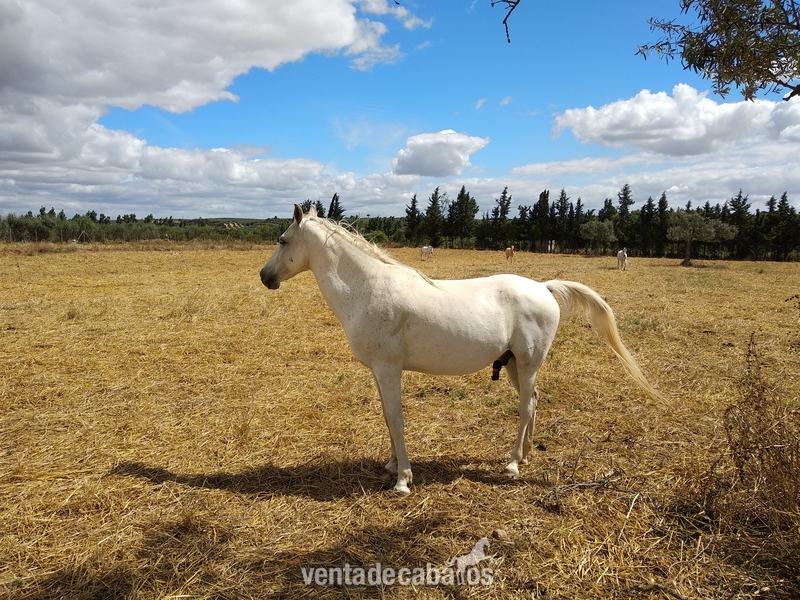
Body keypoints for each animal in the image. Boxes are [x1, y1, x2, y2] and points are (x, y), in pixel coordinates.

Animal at [260, 205, 661, 495]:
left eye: (282, 240)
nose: (265, 277)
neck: (369, 287)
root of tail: (543, 288)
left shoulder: (389, 369)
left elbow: (397, 420)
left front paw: (403, 480)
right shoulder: (379, 371)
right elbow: (388, 420)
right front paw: (392, 465)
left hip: (527, 365)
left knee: (524, 408)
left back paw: (512, 465)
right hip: (514, 366)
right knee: (533, 404)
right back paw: (526, 454)